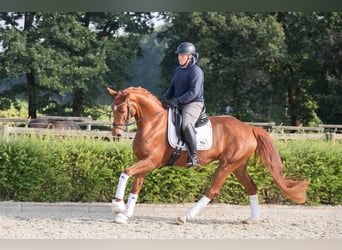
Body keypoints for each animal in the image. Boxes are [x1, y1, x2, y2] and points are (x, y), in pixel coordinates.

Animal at [106, 86, 308, 225]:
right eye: (112, 109)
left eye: (122, 110)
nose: (116, 134)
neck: (152, 123)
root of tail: (248, 127)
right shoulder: (143, 161)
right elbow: (135, 187)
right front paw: (125, 215)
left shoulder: (151, 161)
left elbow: (125, 172)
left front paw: (117, 206)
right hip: (238, 166)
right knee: (251, 187)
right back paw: (252, 219)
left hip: (227, 165)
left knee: (212, 190)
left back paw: (185, 217)